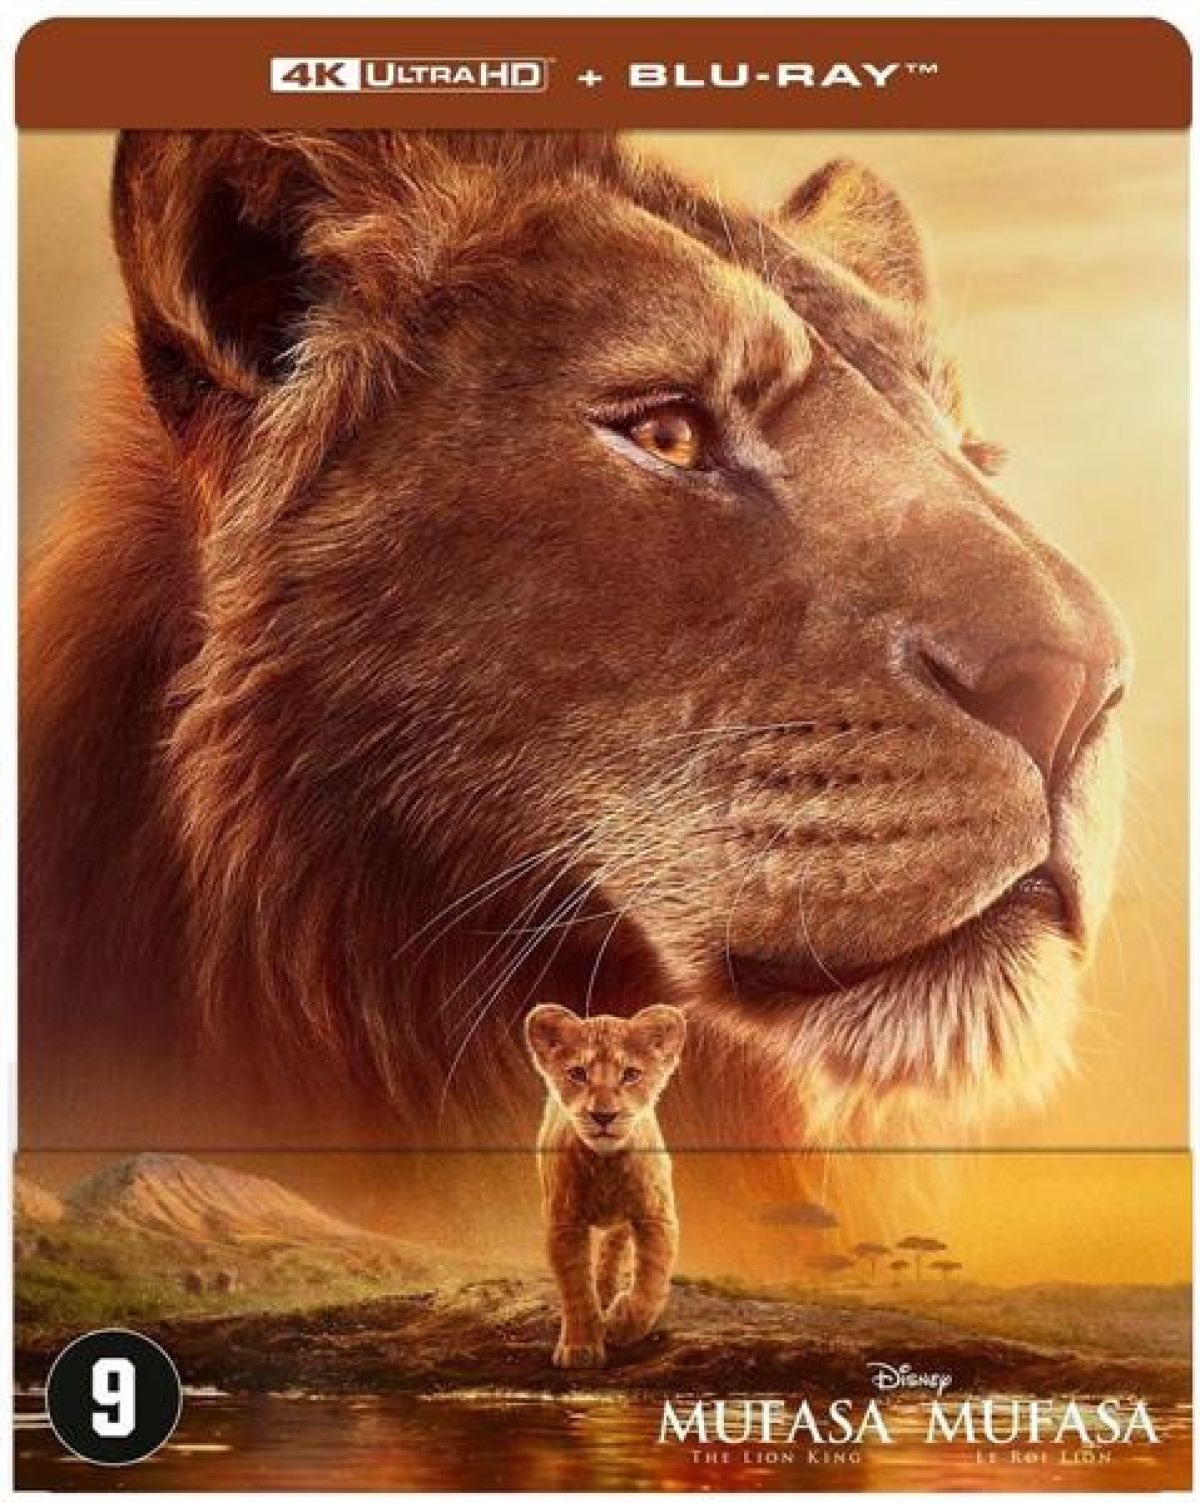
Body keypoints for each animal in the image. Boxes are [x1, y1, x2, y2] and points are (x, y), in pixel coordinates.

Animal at [526, 1003, 685, 1367]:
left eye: (630, 1074)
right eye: (578, 1073)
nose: (603, 1116)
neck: (606, 1163)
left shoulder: (656, 1216)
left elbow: (651, 1281)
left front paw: (622, 1325)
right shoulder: (563, 1222)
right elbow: (576, 1287)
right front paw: (581, 1347)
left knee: (615, 1239)